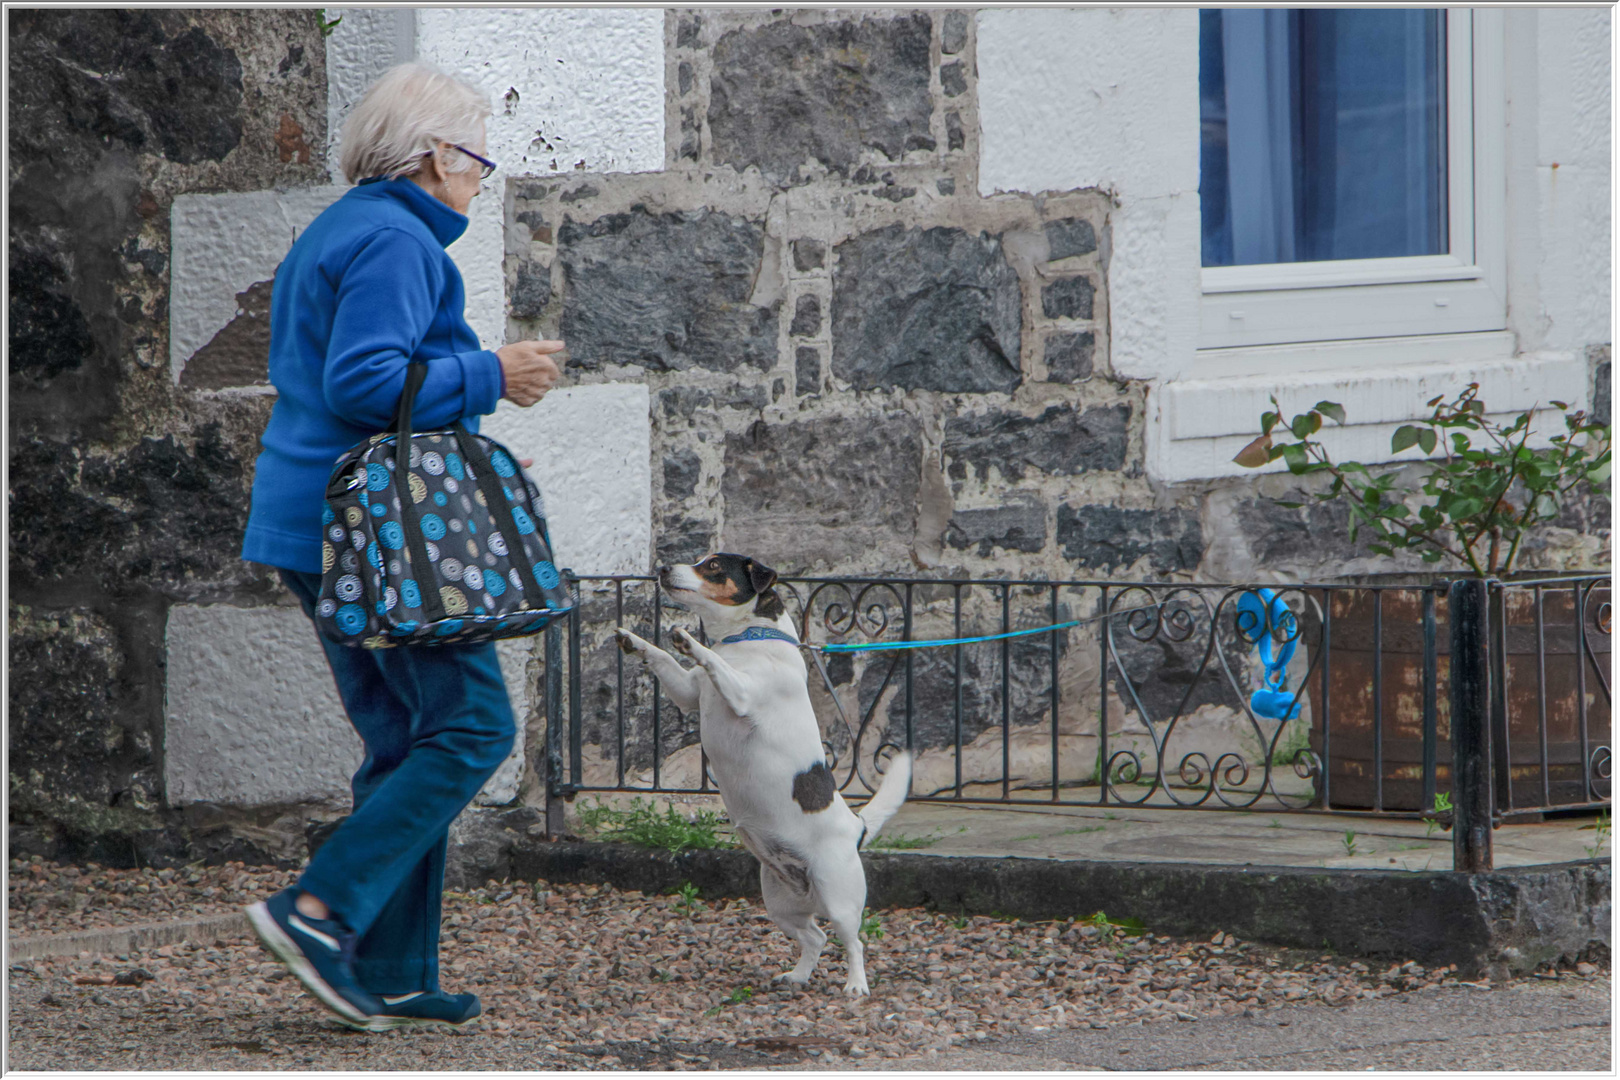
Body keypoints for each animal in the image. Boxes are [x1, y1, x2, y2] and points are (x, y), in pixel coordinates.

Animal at [612, 553, 913, 1003]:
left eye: (713, 566)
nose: (663, 569)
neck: (744, 640)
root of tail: (857, 827)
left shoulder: (741, 694)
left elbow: (712, 660)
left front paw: (690, 642)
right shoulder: (688, 692)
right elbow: (665, 662)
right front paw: (637, 641)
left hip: (840, 897)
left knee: (853, 942)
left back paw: (855, 985)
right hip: (779, 902)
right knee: (814, 938)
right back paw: (798, 976)